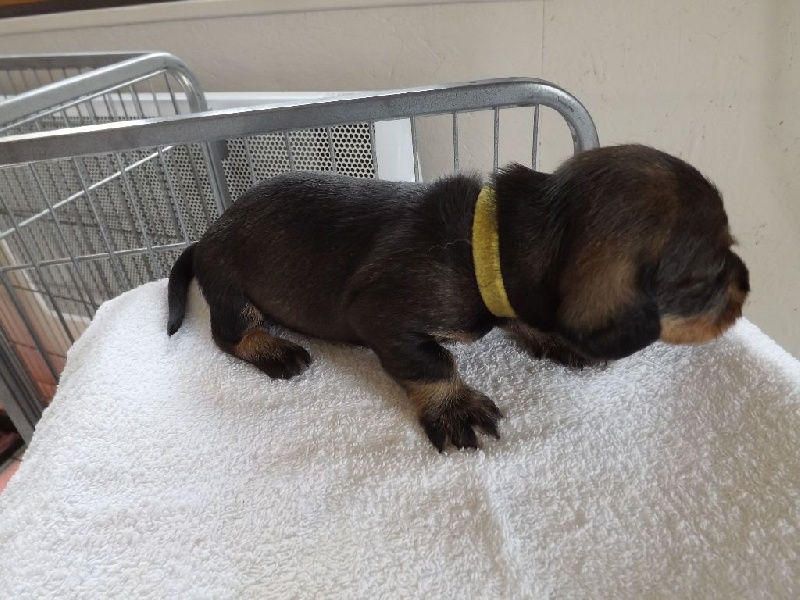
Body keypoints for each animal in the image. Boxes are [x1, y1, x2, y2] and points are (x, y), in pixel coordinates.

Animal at [166, 144, 749, 451]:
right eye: (707, 276)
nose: (747, 284)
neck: (488, 245)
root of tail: (202, 238)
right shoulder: (385, 316)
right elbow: (432, 363)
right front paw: (454, 407)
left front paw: (552, 338)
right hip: (234, 291)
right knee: (226, 333)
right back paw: (272, 349)